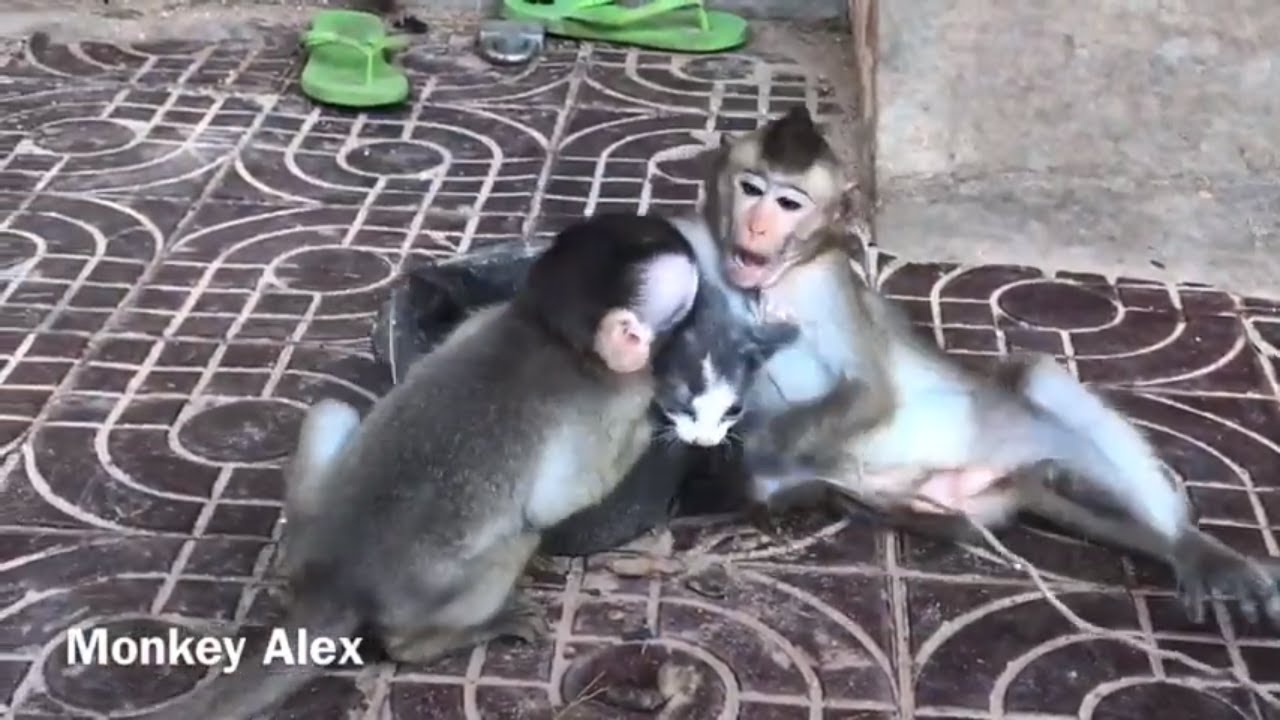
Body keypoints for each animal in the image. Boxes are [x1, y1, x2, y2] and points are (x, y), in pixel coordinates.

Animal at [136, 213, 711, 720]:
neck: (549, 332)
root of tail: (336, 581)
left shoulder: (482, 319)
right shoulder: (609, 402)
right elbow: (558, 500)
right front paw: (660, 424)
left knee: (332, 409)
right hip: (430, 594)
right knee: (517, 534)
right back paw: (444, 638)